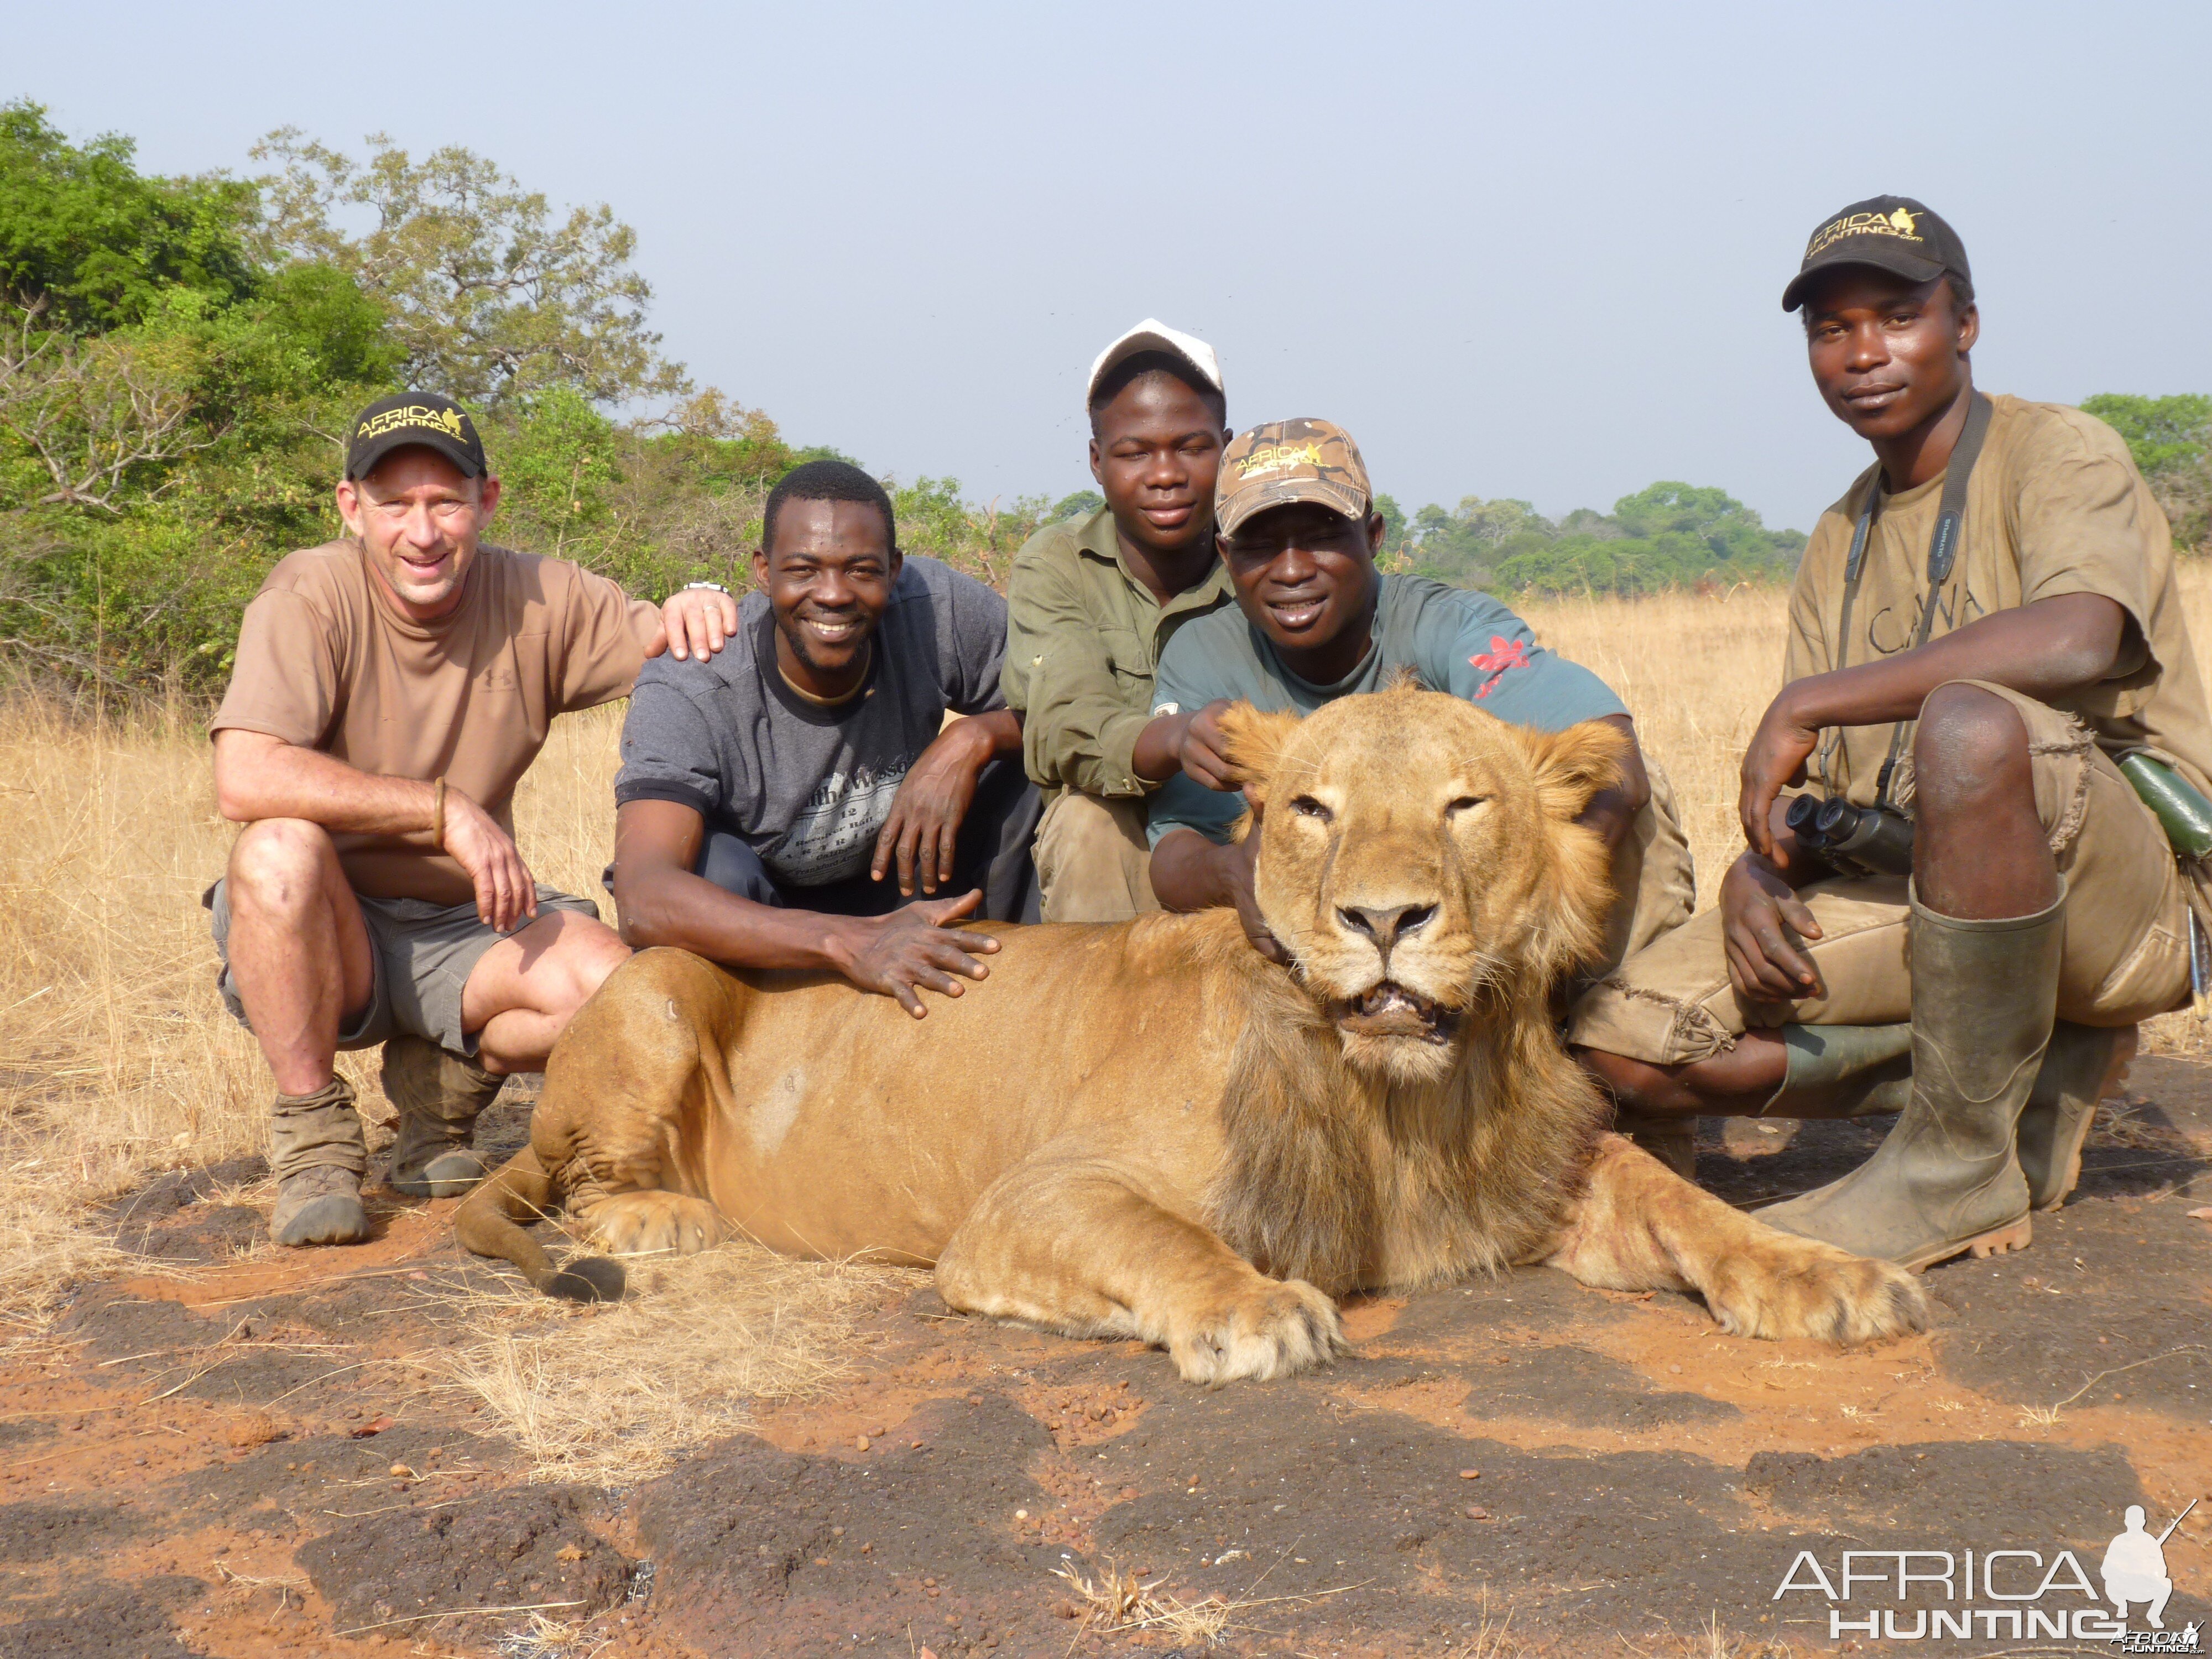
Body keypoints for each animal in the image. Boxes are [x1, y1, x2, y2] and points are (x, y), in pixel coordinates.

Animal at [458, 681, 1929, 1380]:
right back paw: (661, 1216)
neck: (1404, 1087)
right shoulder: (1025, 1202)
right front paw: (1249, 1309)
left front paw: (1827, 1276)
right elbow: (1165, 1240)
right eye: (1311, 809)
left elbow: (1690, 1206)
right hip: (653, 987)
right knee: (575, 1179)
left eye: (1462, 804)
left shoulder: (1532, 1175)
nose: (1381, 918)